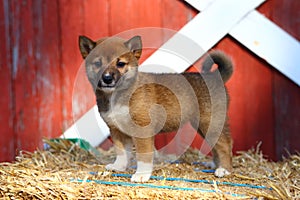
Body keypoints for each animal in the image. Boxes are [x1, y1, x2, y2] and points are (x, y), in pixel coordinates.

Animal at [78, 35, 233, 182]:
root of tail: (214, 76)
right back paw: (216, 166)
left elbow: (143, 157)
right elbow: (121, 153)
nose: (107, 78)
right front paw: (119, 167)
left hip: (210, 123)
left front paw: (141, 175)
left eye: (120, 64)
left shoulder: (142, 130)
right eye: (98, 64)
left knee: (224, 146)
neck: (117, 95)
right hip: (203, 126)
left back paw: (224, 170)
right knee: (217, 146)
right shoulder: (117, 130)